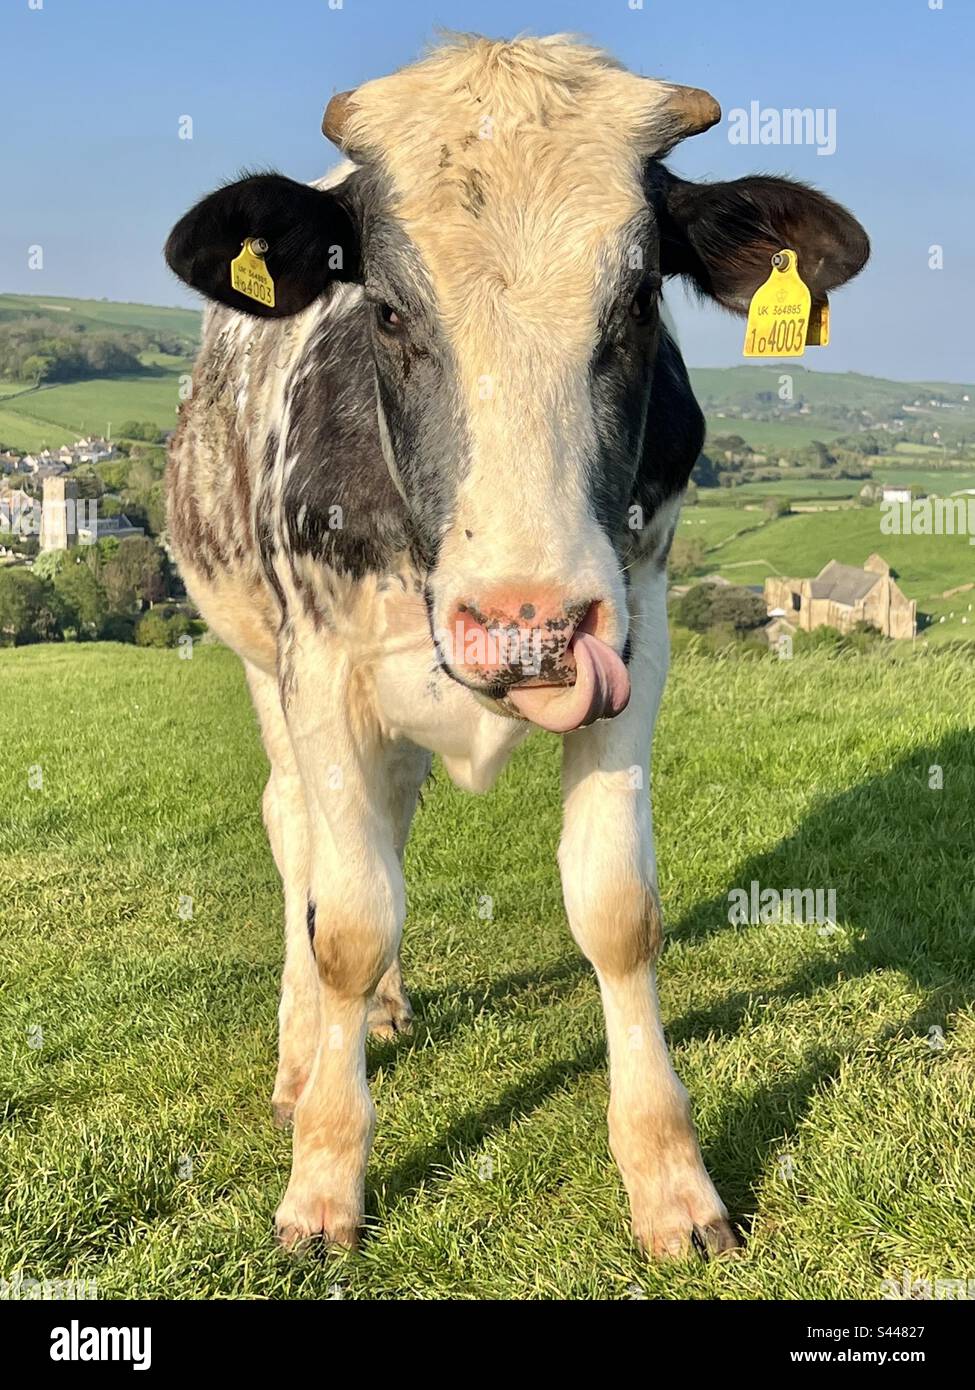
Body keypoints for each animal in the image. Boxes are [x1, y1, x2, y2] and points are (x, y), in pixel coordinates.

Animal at [165, 32, 867, 1256]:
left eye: (636, 303)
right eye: (387, 312)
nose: (524, 626)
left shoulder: (639, 627)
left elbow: (617, 910)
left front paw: (672, 1184)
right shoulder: (321, 665)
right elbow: (347, 920)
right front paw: (323, 1183)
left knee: (383, 823)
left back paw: (382, 1013)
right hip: (260, 658)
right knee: (299, 832)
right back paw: (303, 1062)